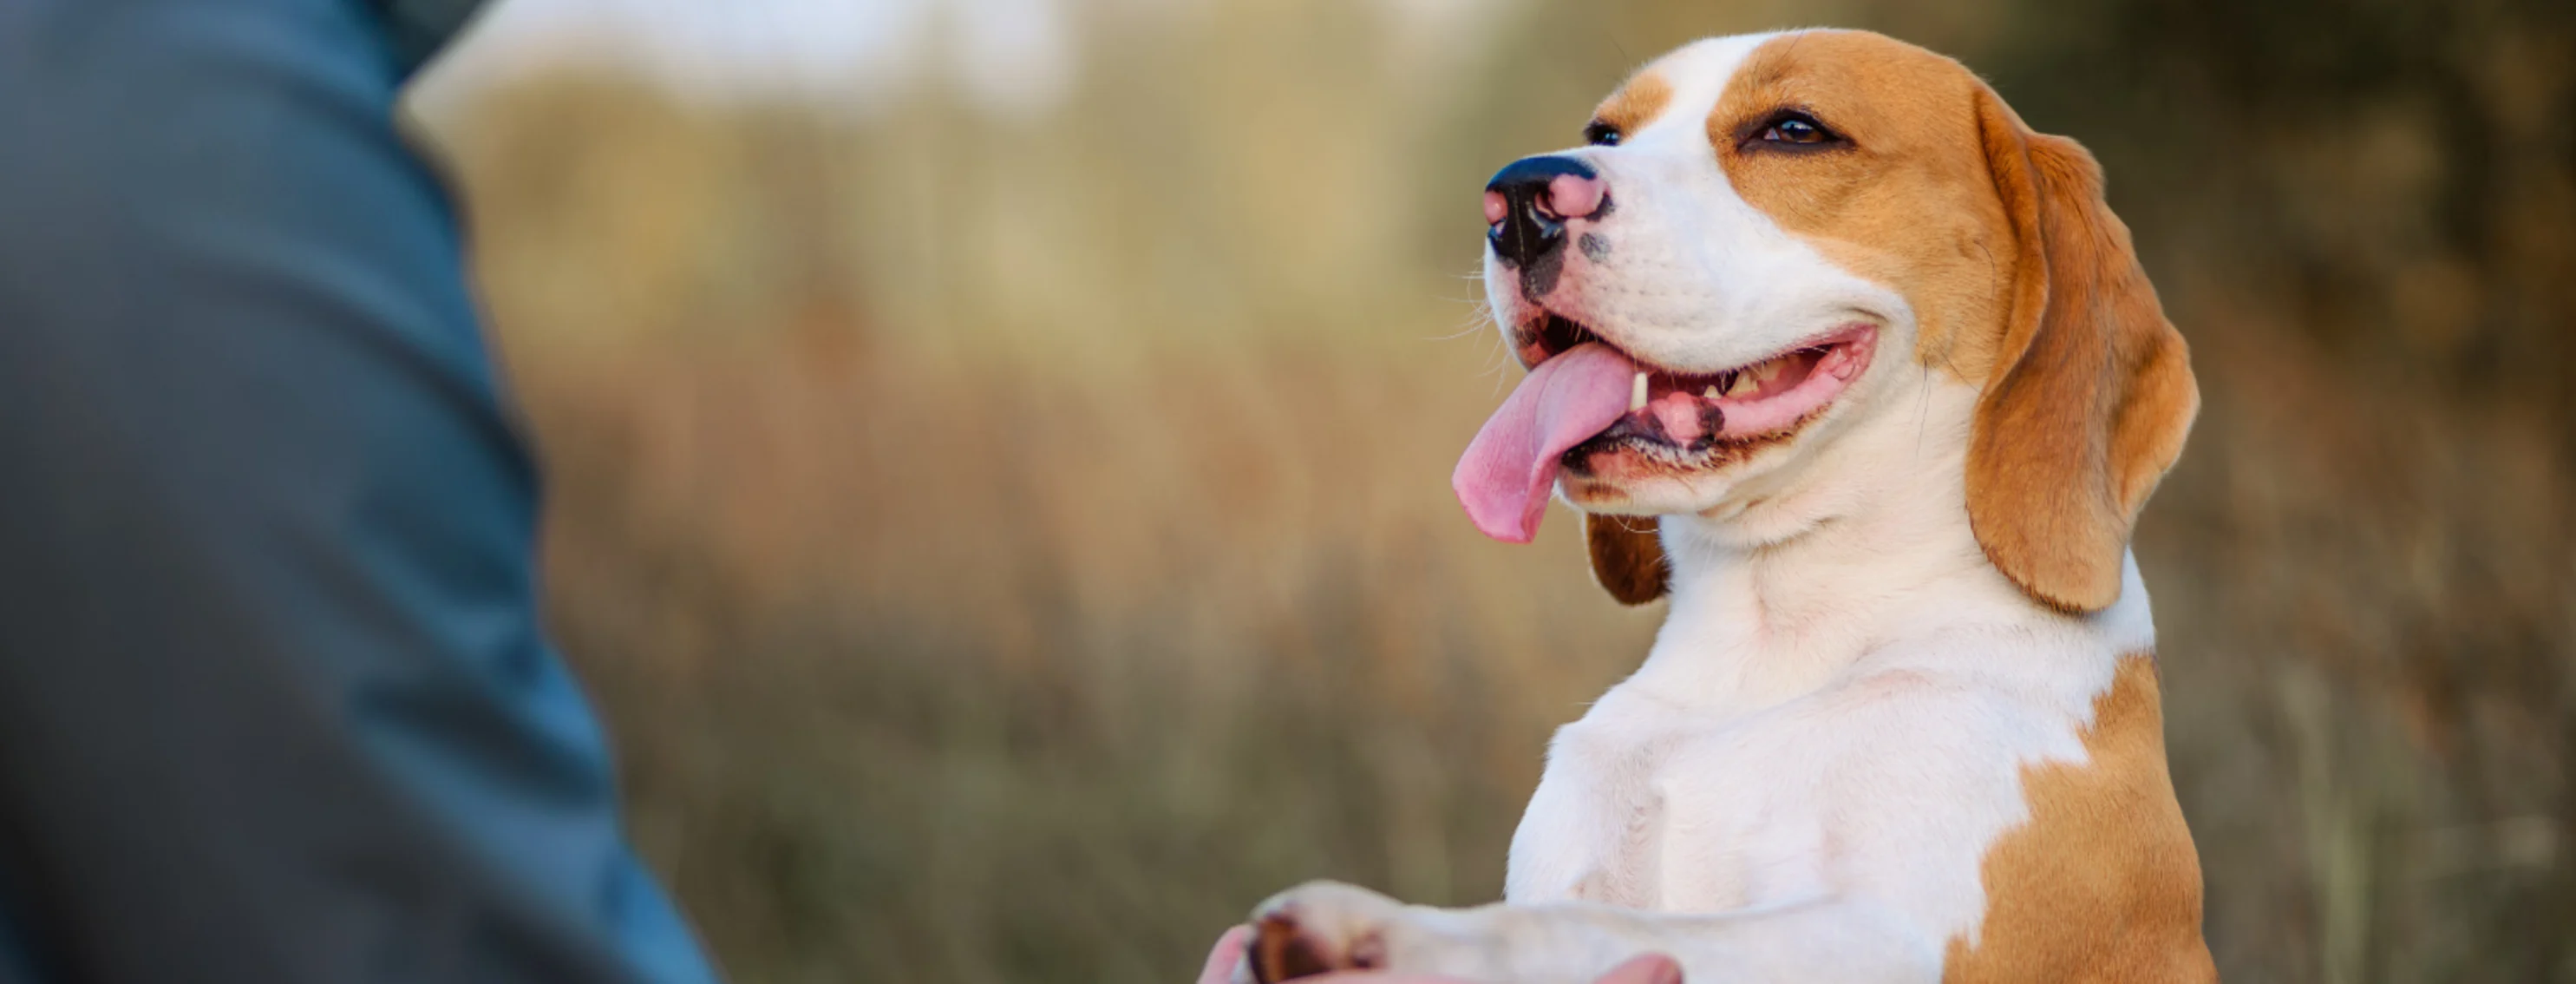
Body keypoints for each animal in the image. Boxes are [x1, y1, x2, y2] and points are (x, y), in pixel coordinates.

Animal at [1236, 26, 2205, 979]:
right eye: (1606, 134)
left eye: (1794, 131)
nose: (1515, 198)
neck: (1770, 637)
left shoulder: (1904, 933)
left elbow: (1600, 930)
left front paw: (1392, 937)